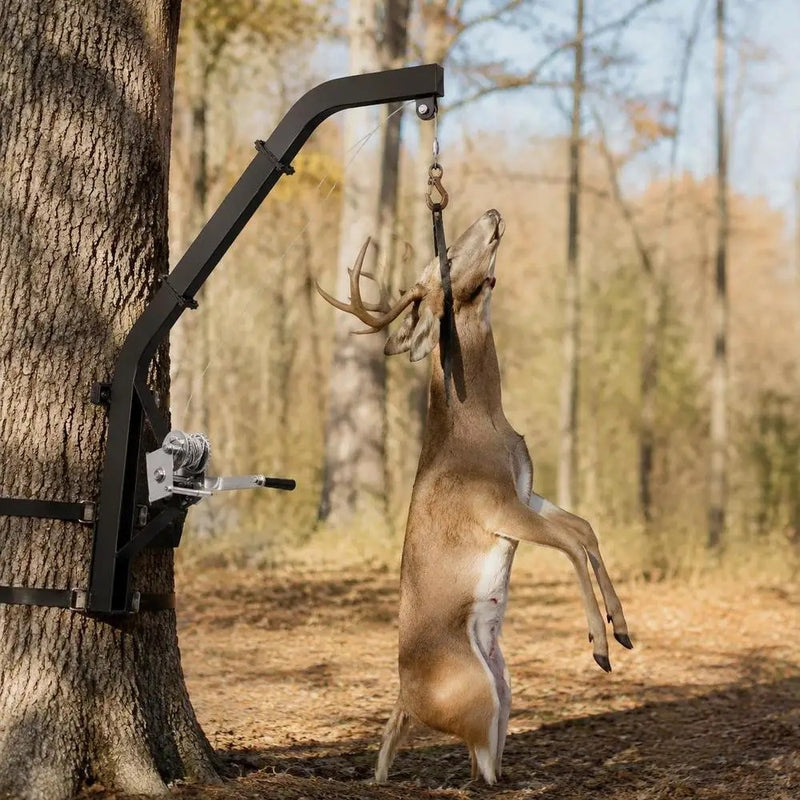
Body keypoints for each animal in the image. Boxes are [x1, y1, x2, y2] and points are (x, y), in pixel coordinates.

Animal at [316, 209, 632, 786]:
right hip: (480, 695)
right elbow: (572, 545)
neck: (480, 423)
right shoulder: (496, 507)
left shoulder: (524, 491)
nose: (491, 213)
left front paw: (621, 630)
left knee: (467, 755)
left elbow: (585, 529)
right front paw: (600, 646)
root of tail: (405, 700)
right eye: (443, 259)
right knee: (479, 767)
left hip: (501, 690)